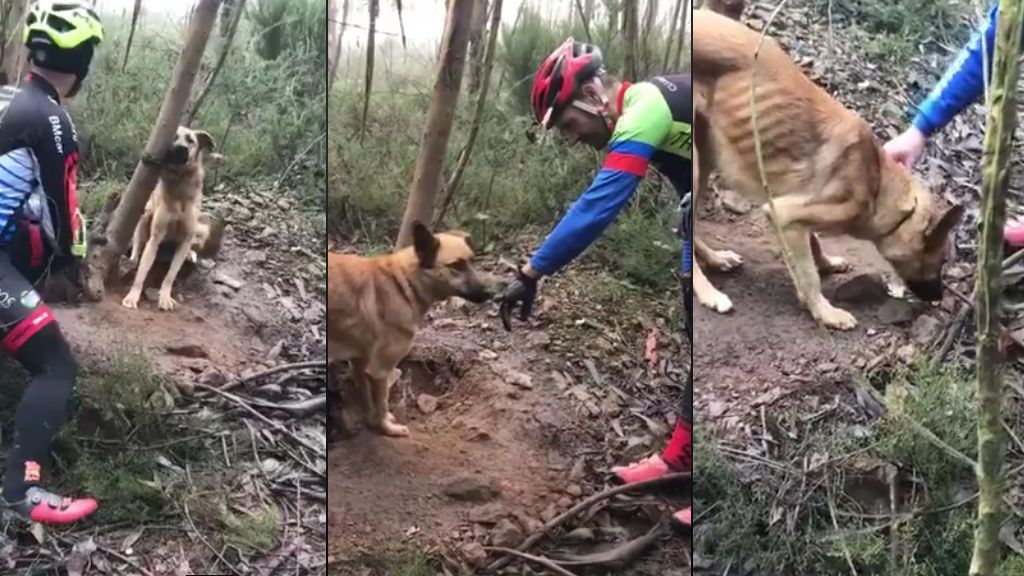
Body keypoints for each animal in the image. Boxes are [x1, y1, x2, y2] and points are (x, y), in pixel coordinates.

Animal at [122, 125, 221, 309]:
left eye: (190, 140)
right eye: (174, 137)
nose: (182, 148)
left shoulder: (186, 238)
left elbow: (170, 275)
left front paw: (165, 297)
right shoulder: (155, 238)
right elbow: (142, 272)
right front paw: (133, 295)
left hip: (201, 228)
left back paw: (191, 254)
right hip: (144, 215)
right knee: (138, 245)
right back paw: (132, 258)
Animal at [325, 220, 489, 434]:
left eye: (472, 261)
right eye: (455, 266)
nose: (489, 293)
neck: (404, 283)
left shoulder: (360, 362)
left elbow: (367, 398)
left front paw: (373, 421)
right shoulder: (380, 369)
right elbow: (382, 402)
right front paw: (387, 427)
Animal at [692, 10, 962, 327]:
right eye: (941, 260)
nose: (938, 298)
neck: (877, 185)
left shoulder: (800, 208)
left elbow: (813, 244)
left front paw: (827, 264)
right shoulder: (784, 214)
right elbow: (808, 275)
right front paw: (824, 311)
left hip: (705, 159)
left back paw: (716, 259)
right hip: (696, 167)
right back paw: (709, 292)